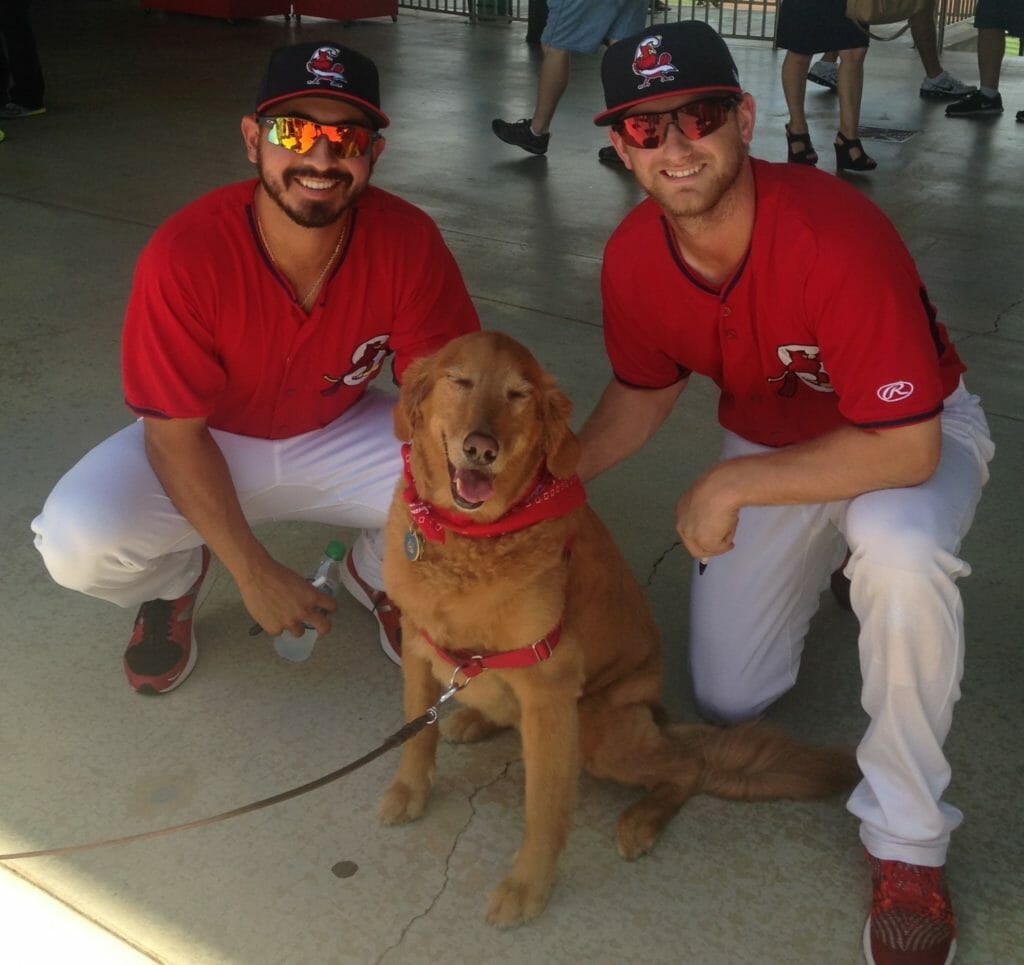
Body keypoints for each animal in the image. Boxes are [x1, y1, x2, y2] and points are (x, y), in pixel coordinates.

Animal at [376, 331, 856, 930]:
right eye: (459, 381)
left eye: (517, 395)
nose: (482, 448)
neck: (467, 540)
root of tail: (657, 712)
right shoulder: (419, 642)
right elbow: (418, 735)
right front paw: (409, 790)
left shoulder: (549, 683)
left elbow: (544, 806)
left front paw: (528, 886)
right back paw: (476, 719)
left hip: (598, 730)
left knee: (688, 767)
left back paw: (642, 820)